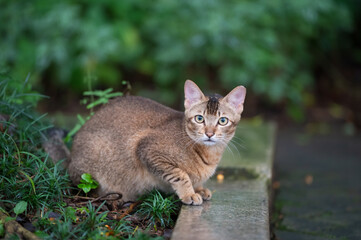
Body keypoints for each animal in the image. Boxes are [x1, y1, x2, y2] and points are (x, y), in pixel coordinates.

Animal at [67, 80, 245, 204]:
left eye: (222, 121)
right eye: (199, 118)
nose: (209, 133)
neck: (209, 155)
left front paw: (199, 189)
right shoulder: (145, 148)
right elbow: (180, 174)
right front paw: (189, 193)